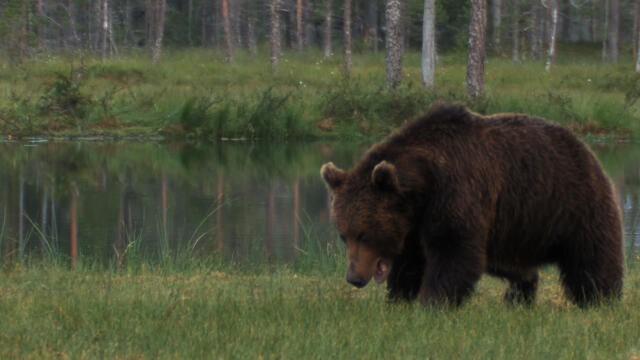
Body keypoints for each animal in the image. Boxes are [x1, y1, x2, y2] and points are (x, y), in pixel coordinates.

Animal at [322, 103, 624, 306]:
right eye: (344, 235)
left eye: (364, 234)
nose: (354, 278)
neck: (422, 188)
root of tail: (586, 148)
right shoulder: (414, 224)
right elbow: (411, 261)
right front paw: (399, 299)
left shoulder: (456, 193)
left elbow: (454, 253)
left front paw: (432, 302)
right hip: (511, 227)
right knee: (511, 263)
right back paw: (519, 295)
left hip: (572, 204)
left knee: (592, 256)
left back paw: (600, 299)